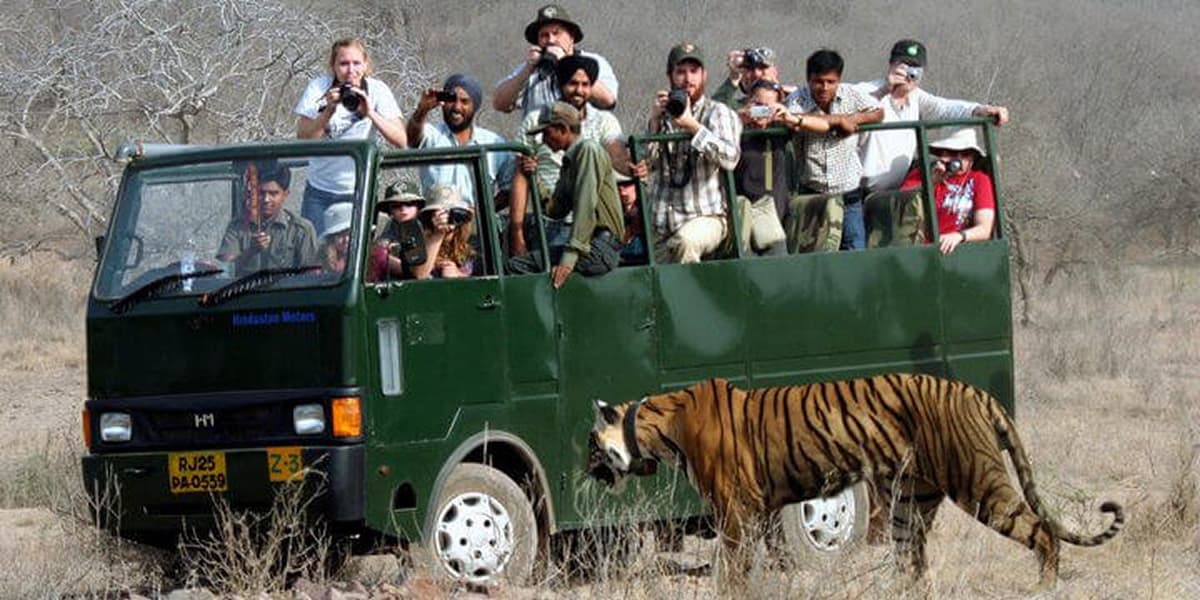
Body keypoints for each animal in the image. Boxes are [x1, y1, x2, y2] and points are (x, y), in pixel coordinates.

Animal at [587, 375, 1123, 588]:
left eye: (590, 445)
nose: (585, 471)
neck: (655, 427)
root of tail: (976, 391)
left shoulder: (734, 509)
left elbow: (733, 569)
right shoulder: (755, 509)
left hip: (978, 483)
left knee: (1043, 531)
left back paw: (1045, 587)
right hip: (912, 500)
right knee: (913, 563)